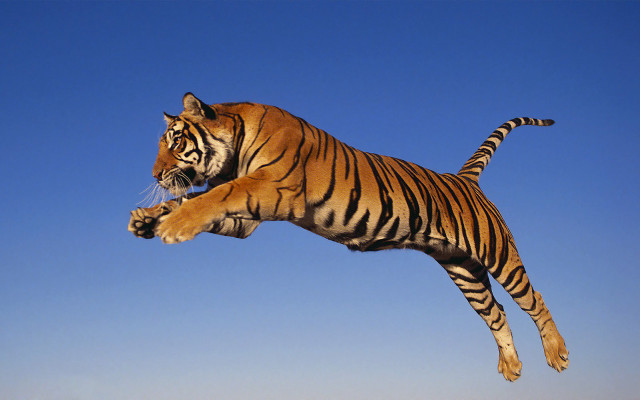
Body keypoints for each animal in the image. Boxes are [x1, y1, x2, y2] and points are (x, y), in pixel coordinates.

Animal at [128, 92, 569, 381]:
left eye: (177, 142)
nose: (154, 175)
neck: (235, 148)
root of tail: (464, 178)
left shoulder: (270, 188)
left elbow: (211, 196)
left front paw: (172, 226)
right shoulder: (246, 221)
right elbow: (193, 198)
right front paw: (146, 219)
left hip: (497, 253)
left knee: (533, 298)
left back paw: (557, 353)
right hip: (463, 269)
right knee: (496, 312)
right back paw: (511, 367)